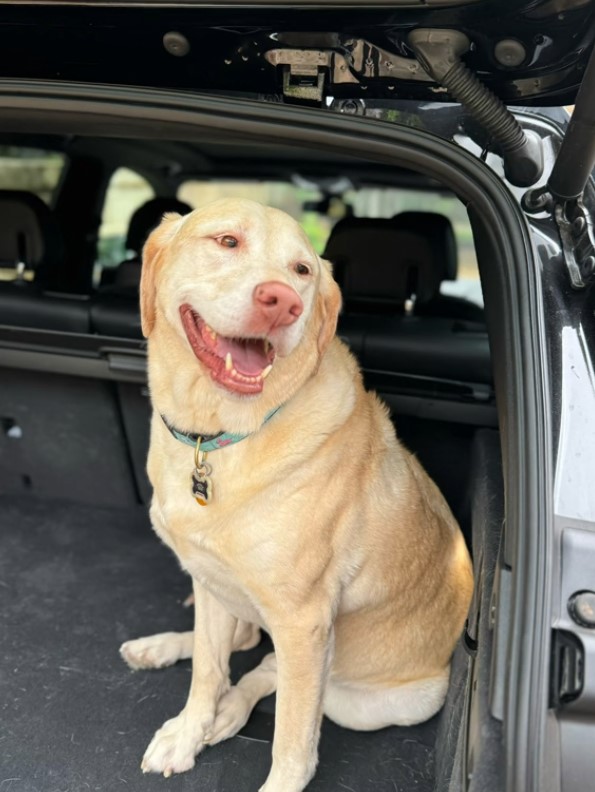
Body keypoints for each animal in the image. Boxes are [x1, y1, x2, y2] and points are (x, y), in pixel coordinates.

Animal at [120, 200, 474, 792]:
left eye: (302, 271)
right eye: (227, 241)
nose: (281, 302)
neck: (216, 436)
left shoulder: (304, 622)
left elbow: (290, 740)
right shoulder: (210, 580)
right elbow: (207, 669)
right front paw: (188, 732)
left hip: (377, 699)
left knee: (269, 673)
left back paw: (229, 710)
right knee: (243, 646)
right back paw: (164, 651)